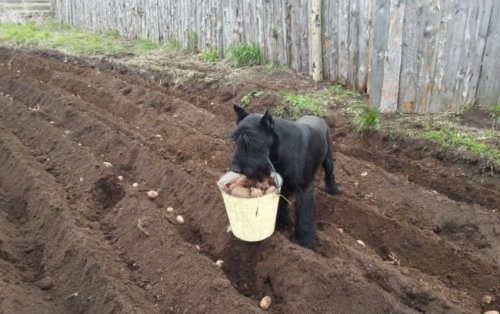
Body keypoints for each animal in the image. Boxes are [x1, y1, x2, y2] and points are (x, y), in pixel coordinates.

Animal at [229, 105, 340, 248]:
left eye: (252, 142)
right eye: (235, 141)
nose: (235, 169)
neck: (278, 150)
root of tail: (318, 117)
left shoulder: (304, 188)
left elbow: (305, 215)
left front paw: (306, 240)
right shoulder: (281, 184)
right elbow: (280, 205)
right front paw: (280, 224)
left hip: (328, 159)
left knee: (330, 173)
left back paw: (334, 190)